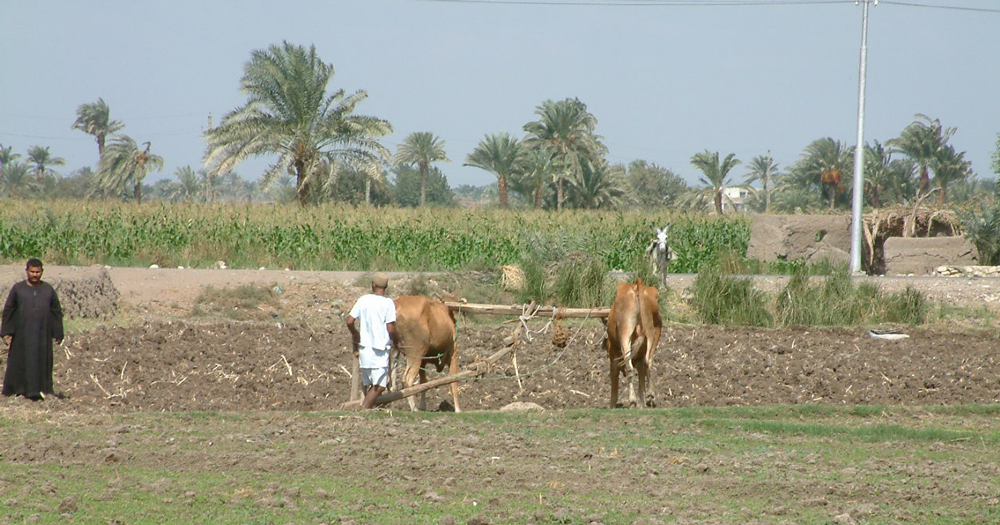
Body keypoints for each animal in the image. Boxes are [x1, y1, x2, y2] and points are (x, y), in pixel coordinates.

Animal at [604, 276, 660, 408]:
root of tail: (637, 285)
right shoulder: (639, 361)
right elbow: (641, 385)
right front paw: (644, 403)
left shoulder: (614, 359)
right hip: (654, 331)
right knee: (648, 362)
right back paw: (651, 396)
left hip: (625, 332)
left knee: (629, 366)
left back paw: (633, 400)